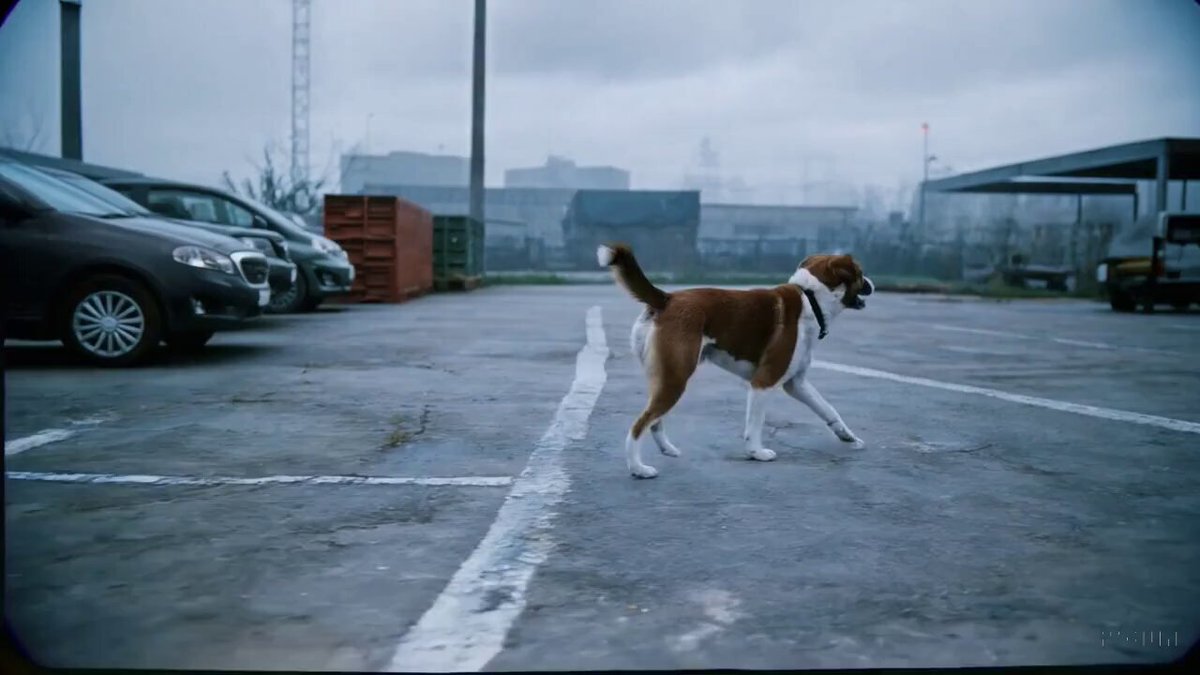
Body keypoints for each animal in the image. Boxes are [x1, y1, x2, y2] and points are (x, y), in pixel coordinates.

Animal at [597, 243, 873, 475]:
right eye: (860, 273)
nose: (871, 282)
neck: (810, 297)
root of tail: (666, 298)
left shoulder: (796, 384)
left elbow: (828, 409)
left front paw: (848, 437)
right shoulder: (763, 382)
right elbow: (754, 425)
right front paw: (757, 452)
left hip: (666, 378)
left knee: (653, 420)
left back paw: (667, 449)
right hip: (676, 378)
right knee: (638, 425)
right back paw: (638, 468)